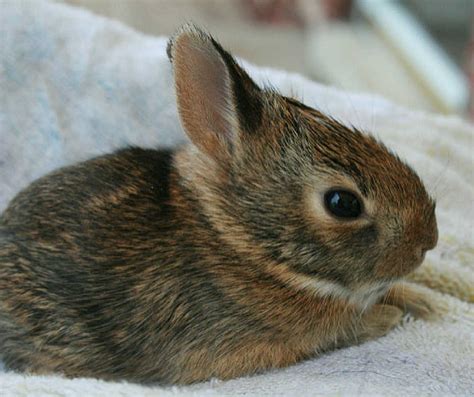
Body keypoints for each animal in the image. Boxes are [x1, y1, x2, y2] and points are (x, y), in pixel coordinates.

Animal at [0, 24, 436, 384]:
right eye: (343, 203)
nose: (427, 241)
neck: (237, 242)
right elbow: (341, 329)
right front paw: (391, 315)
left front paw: (423, 302)